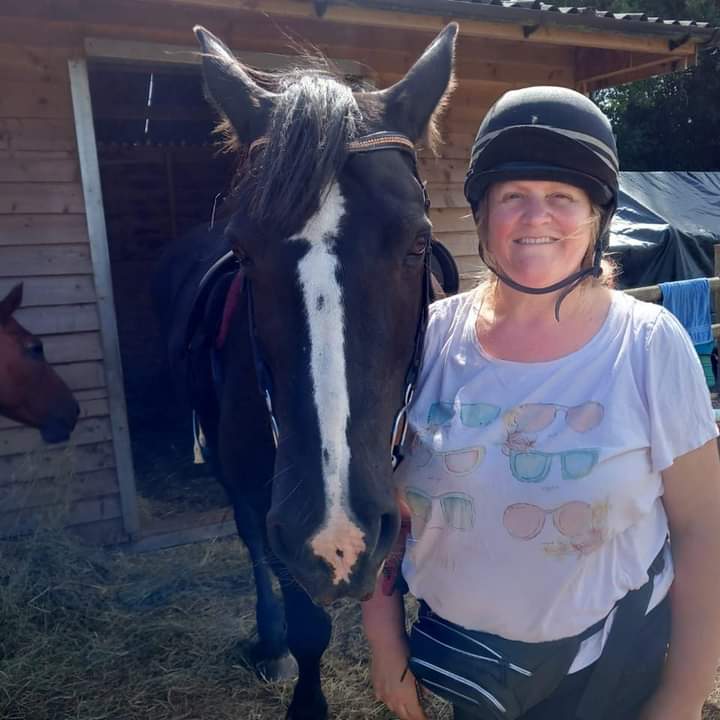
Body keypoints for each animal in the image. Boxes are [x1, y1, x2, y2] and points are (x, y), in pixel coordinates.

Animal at [155, 23, 458, 720]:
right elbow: (306, 617)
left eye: (417, 242)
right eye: (242, 251)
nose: (335, 535)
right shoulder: (280, 510)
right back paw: (268, 645)